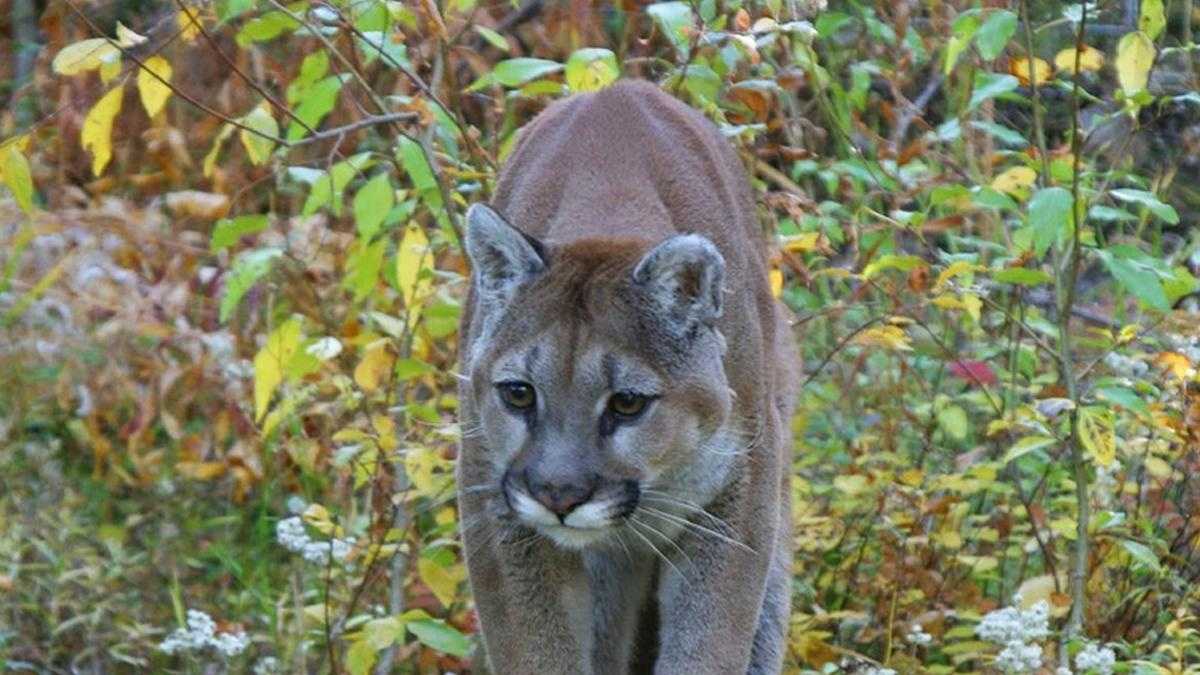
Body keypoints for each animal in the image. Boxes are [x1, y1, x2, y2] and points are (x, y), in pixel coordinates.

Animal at [453, 76, 792, 667]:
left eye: (627, 403)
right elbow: (536, 650)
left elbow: (709, 641)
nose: (559, 496)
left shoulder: (742, 489)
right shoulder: (494, 503)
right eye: (519, 394)